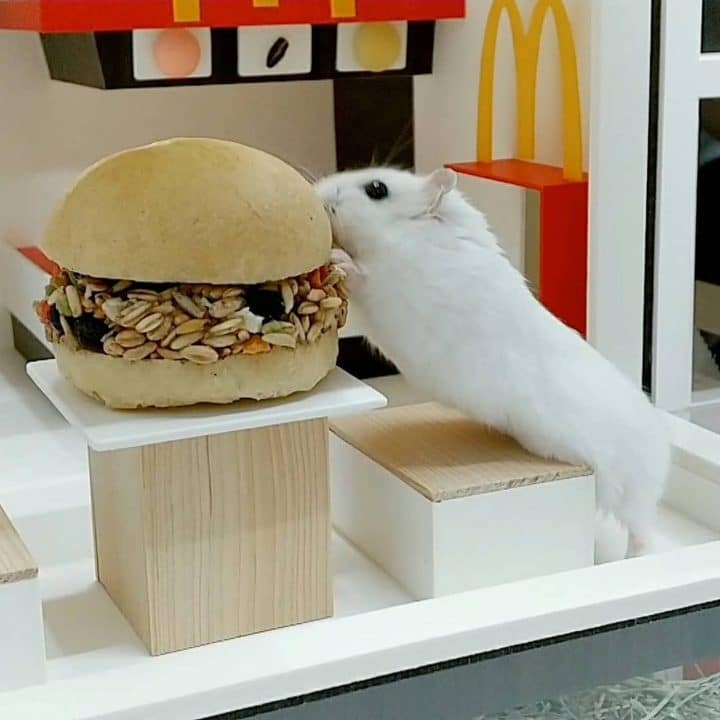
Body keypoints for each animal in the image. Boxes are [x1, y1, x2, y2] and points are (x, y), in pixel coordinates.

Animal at [316, 167, 671, 558]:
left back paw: (634, 556)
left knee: (642, 531)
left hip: (629, 491)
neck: (411, 233)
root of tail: (663, 453)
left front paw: (337, 257)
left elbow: (363, 277)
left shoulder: (389, 288)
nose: (317, 191)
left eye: (376, 189)